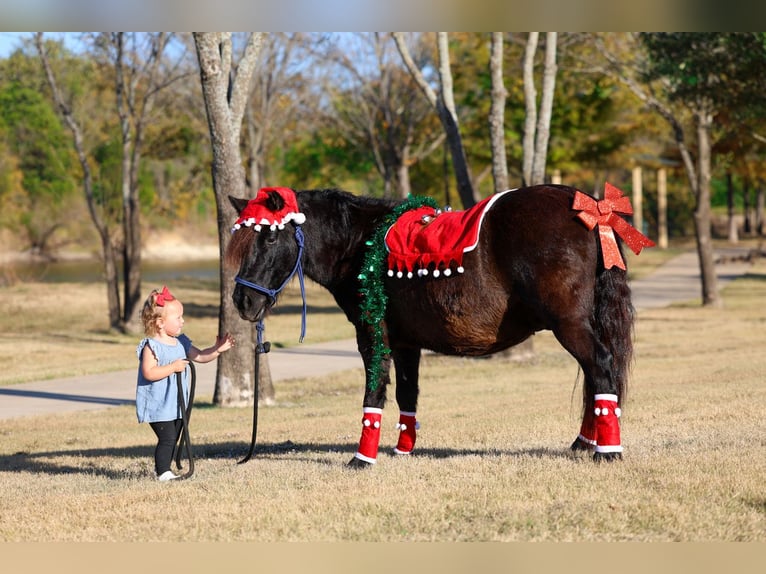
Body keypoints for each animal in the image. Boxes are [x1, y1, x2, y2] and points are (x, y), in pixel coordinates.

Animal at [225, 184, 651, 468]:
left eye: (268, 238)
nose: (243, 301)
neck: (361, 245)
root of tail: (592, 209)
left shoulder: (373, 335)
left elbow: (374, 393)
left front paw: (363, 458)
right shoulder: (405, 343)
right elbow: (407, 394)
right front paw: (403, 449)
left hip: (569, 325)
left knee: (602, 367)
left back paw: (607, 451)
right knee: (598, 374)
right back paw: (585, 442)